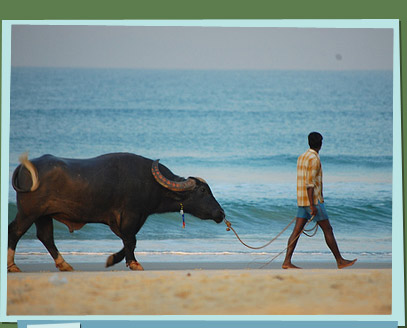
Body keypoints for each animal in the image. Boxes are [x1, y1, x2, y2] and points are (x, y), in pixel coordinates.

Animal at [7, 154, 225, 272]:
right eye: (203, 191)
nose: (221, 213)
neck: (152, 183)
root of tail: (25, 167)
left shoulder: (130, 219)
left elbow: (129, 240)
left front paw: (114, 259)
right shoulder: (130, 216)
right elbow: (131, 239)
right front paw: (134, 263)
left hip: (43, 216)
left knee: (45, 236)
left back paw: (64, 264)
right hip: (29, 213)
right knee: (15, 231)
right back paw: (12, 266)